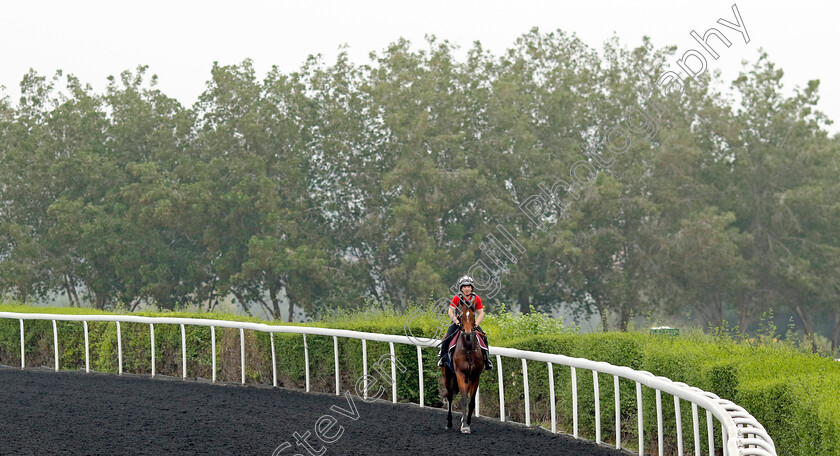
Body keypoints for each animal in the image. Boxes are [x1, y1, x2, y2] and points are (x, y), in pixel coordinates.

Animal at [442, 298, 482, 432]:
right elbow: (464, 400)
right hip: (447, 375)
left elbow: (471, 402)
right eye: (461, 315)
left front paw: (467, 423)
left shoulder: (475, 376)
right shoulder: (460, 374)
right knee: (449, 396)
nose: (468, 333)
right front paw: (464, 426)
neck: (468, 349)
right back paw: (449, 423)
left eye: (473, 315)